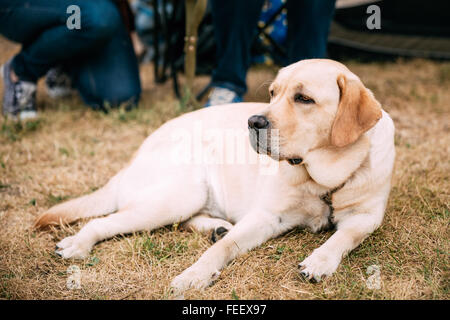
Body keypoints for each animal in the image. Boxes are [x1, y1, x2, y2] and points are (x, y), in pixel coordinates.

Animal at [35, 59, 394, 292]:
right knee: (103, 221)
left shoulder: (367, 216)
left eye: (304, 98)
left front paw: (320, 260)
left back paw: (217, 227)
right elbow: (220, 251)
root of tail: (132, 160)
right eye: (273, 93)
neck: (324, 180)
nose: (254, 122)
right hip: (180, 194)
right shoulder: (267, 216)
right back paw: (78, 244)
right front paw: (195, 274)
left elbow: (344, 237)